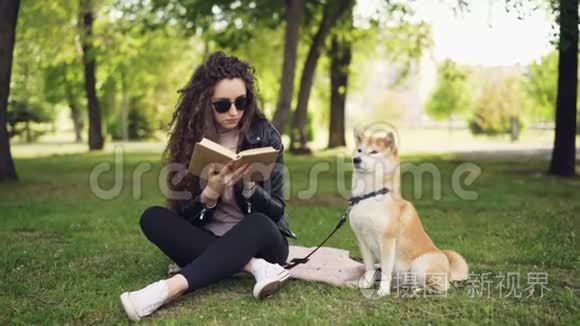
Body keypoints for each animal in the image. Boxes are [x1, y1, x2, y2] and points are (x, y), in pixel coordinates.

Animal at [348, 129, 466, 296]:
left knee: (439, 287)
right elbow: (369, 266)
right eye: (359, 150)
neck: (369, 196)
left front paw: (383, 291)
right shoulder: (362, 239)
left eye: (374, 152)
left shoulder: (387, 240)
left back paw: (417, 290)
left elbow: (386, 270)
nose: (356, 160)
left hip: (421, 264)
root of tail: (448, 270)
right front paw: (366, 283)